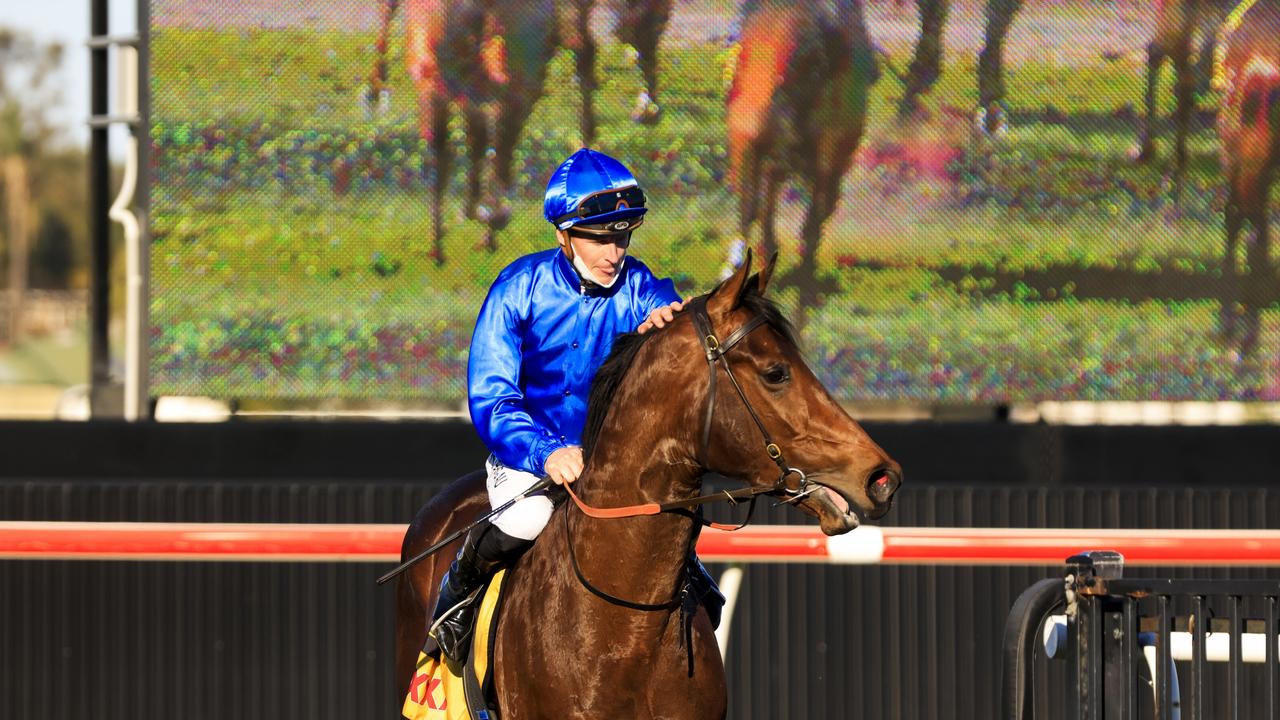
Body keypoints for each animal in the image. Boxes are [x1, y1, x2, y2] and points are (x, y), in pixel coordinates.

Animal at [732, 0, 880, 304]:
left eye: (810, 62)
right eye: (742, 52)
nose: (747, 123)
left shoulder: (824, 155)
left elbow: (808, 217)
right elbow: (758, 211)